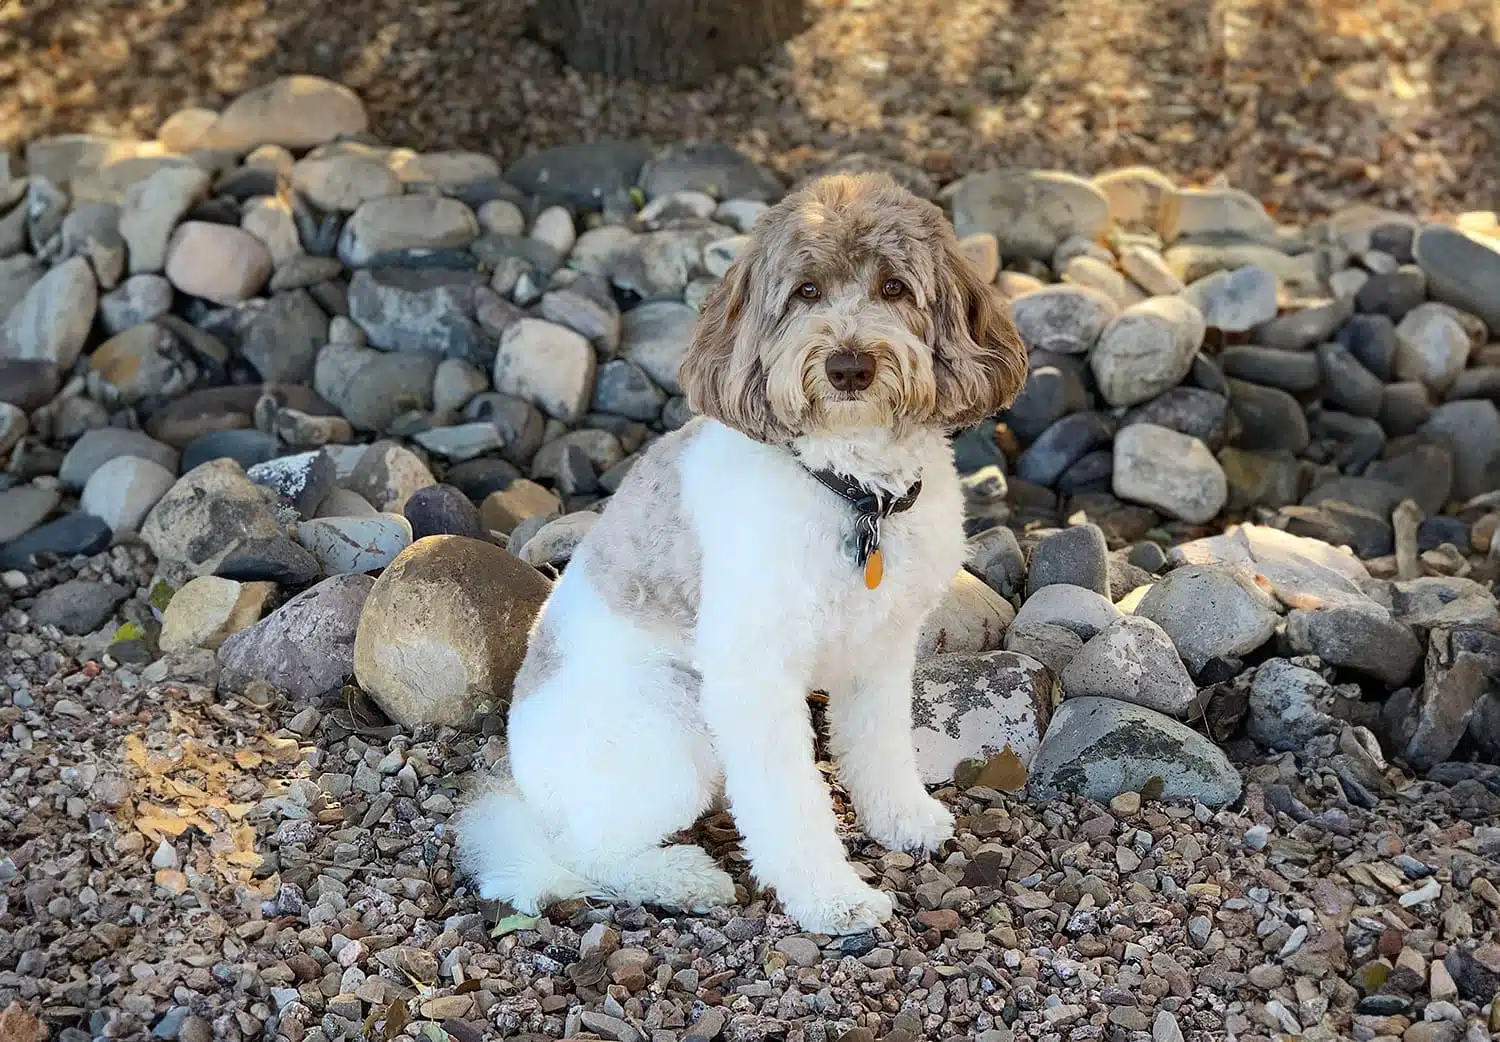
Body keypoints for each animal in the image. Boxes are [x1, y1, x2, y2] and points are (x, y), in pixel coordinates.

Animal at [450, 173, 1026, 935]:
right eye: (806, 291)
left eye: (895, 288)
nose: (849, 366)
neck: (852, 491)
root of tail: (527, 789)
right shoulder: (753, 677)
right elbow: (789, 799)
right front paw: (833, 898)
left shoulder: (882, 650)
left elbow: (880, 742)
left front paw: (902, 819)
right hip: (670, 721)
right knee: (587, 852)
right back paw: (684, 879)